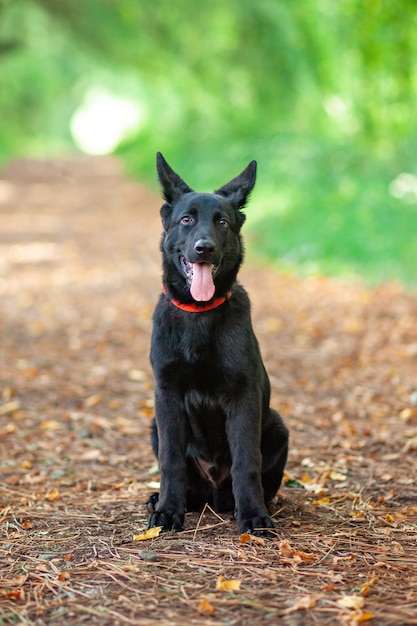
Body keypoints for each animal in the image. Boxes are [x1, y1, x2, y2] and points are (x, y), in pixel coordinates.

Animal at [147, 151, 290, 532]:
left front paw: (253, 515)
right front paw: (167, 510)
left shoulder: (243, 397)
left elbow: (246, 462)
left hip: (277, 426)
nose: (204, 248)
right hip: (154, 426)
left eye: (222, 222)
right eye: (186, 219)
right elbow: (171, 462)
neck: (199, 315)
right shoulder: (166, 395)